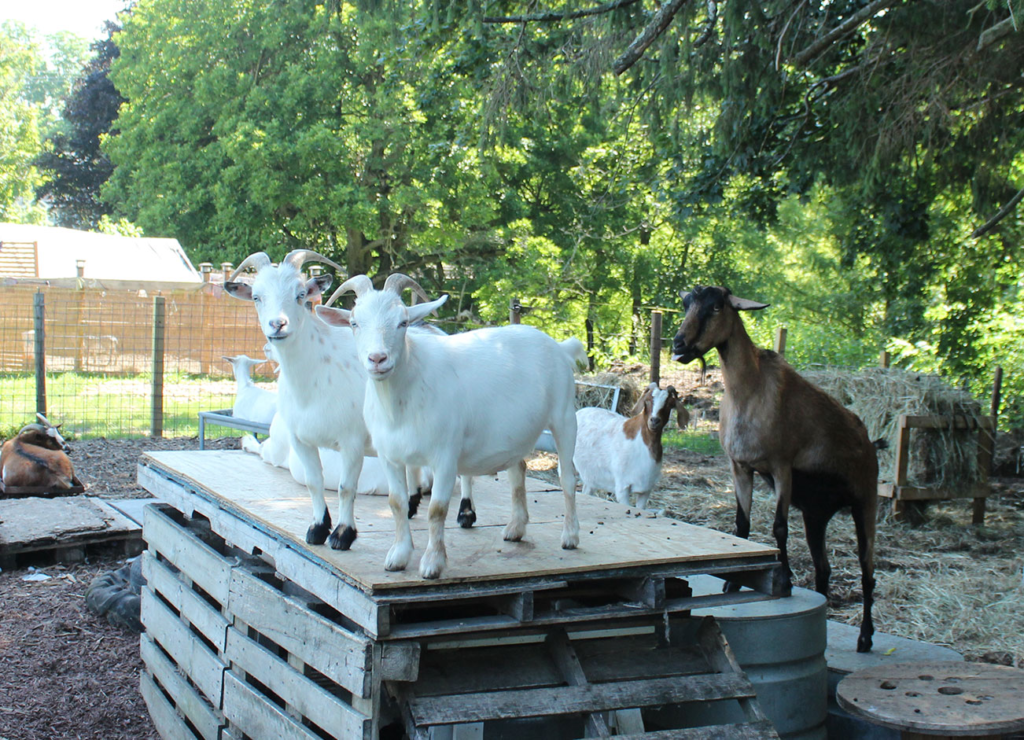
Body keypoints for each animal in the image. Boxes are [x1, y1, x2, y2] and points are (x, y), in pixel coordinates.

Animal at [316, 273, 586, 579]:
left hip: (564, 417)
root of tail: (558, 346)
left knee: (567, 478)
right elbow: (397, 503)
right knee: (518, 471)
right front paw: (398, 557)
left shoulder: (444, 455)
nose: (377, 359)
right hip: (516, 434)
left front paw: (432, 563)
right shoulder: (390, 456)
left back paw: (570, 536)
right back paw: (516, 528)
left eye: (403, 322)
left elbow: (436, 509)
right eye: (354, 323)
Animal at [574, 382, 689, 511]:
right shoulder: (622, 487)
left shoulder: (646, 489)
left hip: (591, 474)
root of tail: (579, 412)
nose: (654, 421)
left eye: (669, 404)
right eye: (647, 401)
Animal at [672, 285, 878, 652]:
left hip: (865, 503)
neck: (749, 392)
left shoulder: (782, 467)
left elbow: (779, 527)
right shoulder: (740, 467)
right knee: (823, 568)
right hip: (815, 515)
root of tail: (870, 442)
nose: (678, 345)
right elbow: (741, 524)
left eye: (716, 306)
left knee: (867, 570)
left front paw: (784, 580)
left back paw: (865, 637)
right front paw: (733, 585)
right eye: (685, 304)